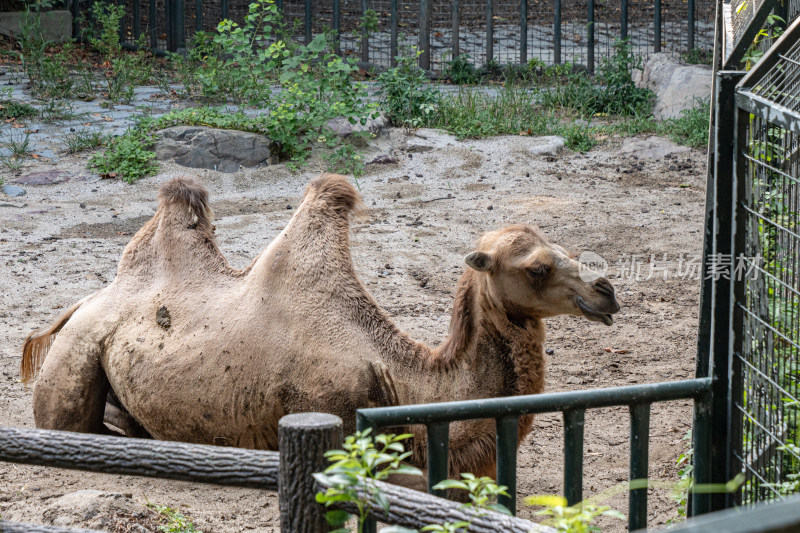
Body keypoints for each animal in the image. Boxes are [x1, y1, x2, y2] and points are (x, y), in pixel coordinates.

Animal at [20, 172, 620, 480]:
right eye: (536, 268)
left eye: (568, 251)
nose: (606, 292)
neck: (404, 380)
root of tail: (83, 302)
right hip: (75, 358)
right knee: (66, 423)